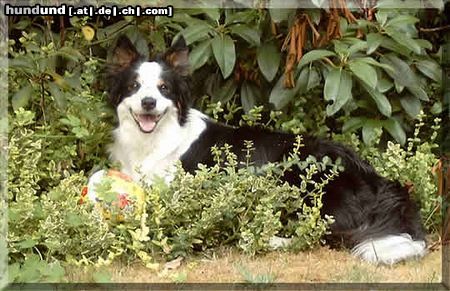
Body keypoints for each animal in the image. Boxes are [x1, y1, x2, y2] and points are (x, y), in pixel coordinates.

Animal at [104, 35, 426, 266]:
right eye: (134, 86)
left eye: (164, 88)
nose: (148, 103)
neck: (153, 140)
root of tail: (381, 182)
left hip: (304, 186)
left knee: (321, 233)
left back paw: (269, 240)